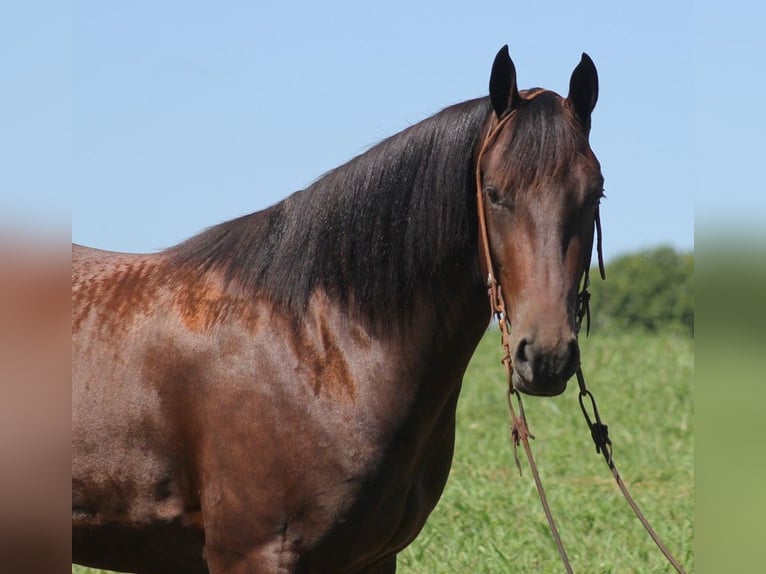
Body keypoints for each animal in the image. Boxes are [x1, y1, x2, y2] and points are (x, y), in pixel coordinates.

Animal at [72, 46, 608, 574]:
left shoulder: (374, 559)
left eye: (595, 193)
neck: (322, 349)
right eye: (494, 193)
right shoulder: (248, 553)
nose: (546, 356)